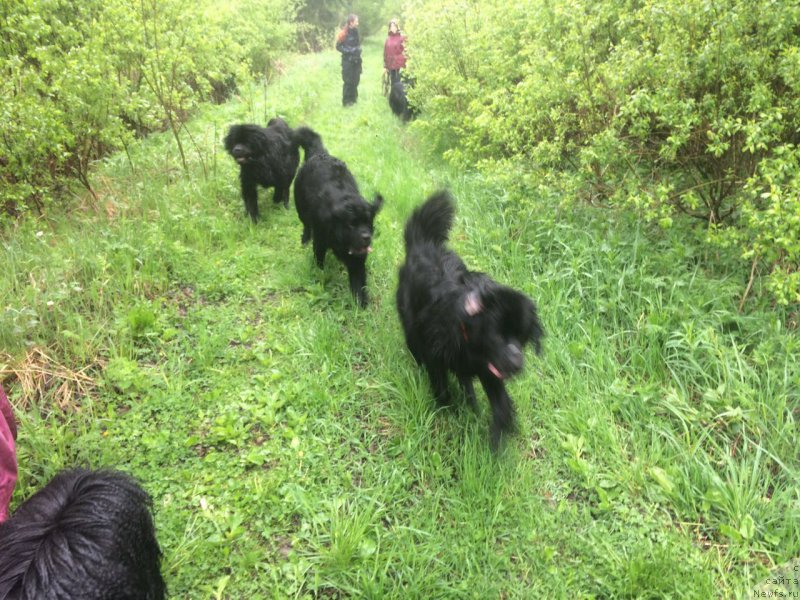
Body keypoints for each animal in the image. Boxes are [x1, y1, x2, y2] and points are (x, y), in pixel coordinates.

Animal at [294, 125, 384, 308]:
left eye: (368, 222)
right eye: (351, 224)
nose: (366, 237)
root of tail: (319, 154)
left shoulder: (357, 260)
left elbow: (358, 282)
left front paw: (361, 303)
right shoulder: (320, 241)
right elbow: (319, 260)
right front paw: (320, 273)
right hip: (301, 208)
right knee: (306, 225)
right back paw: (305, 239)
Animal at [398, 190, 548, 448]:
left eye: (522, 338)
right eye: (498, 332)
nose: (517, 363)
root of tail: (423, 242)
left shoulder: (489, 369)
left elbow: (501, 405)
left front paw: (497, 439)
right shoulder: (437, 357)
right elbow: (441, 385)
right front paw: (447, 410)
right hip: (410, 323)